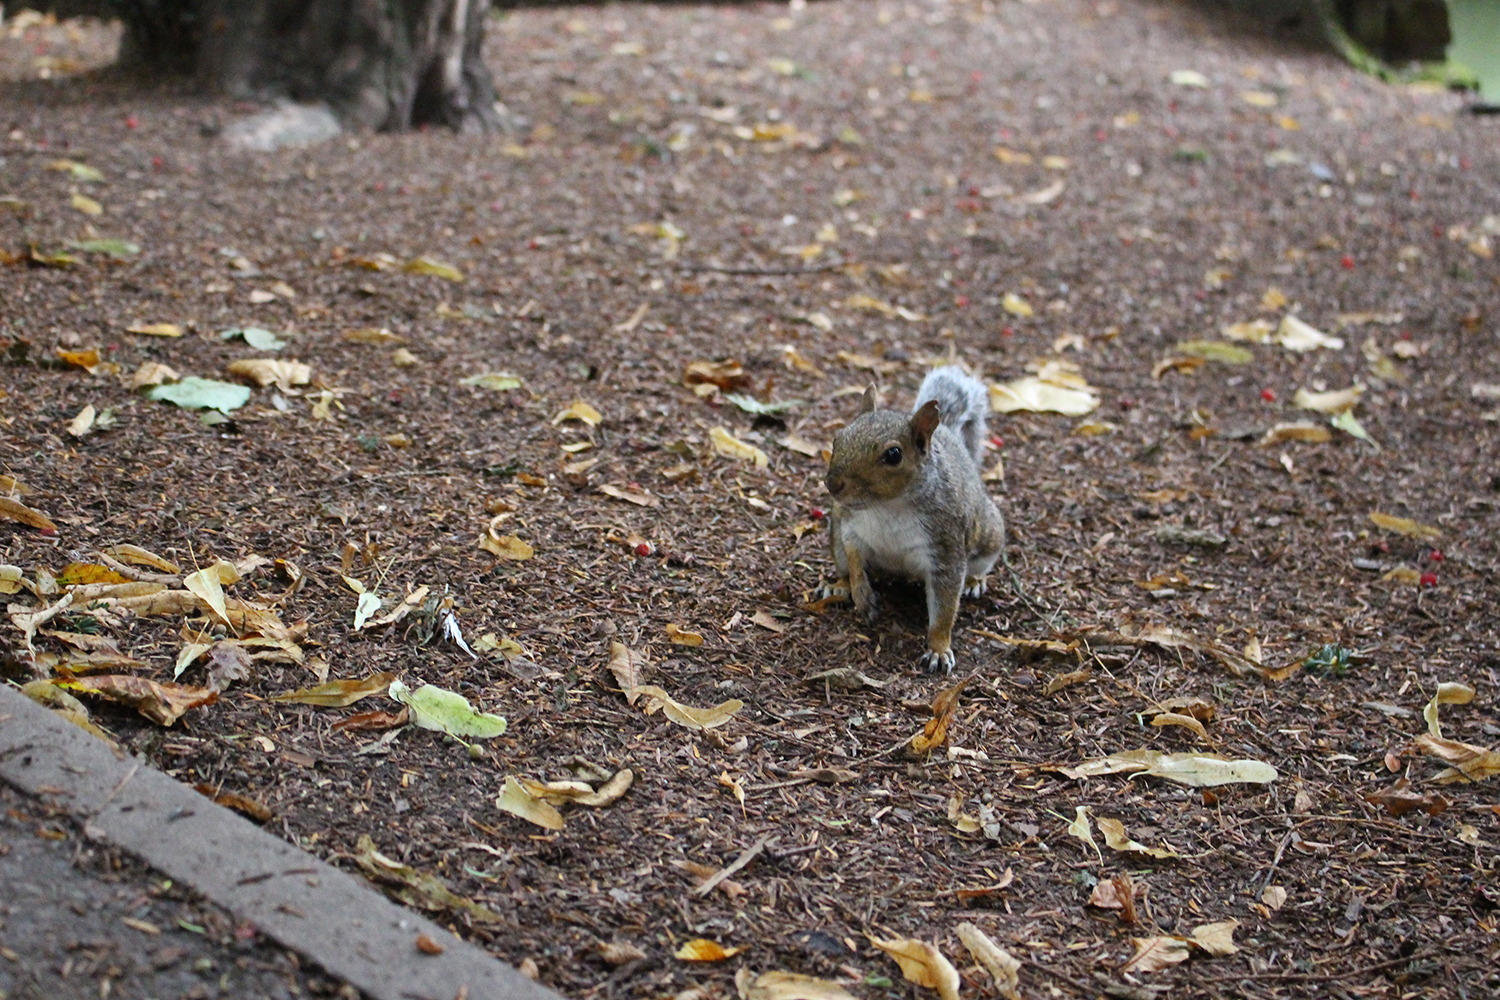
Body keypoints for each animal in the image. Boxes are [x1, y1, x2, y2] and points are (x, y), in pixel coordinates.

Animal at [822, 364, 1008, 677]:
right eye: (838, 438)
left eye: (893, 454)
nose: (833, 484)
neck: (888, 507)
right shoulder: (849, 527)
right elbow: (856, 559)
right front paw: (862, 594)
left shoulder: (945, 548)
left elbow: (944, 609)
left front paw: (939, 649)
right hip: (834, 535)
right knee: (845, 565)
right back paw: (839, 585)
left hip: (989, 535)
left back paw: (974, 581)